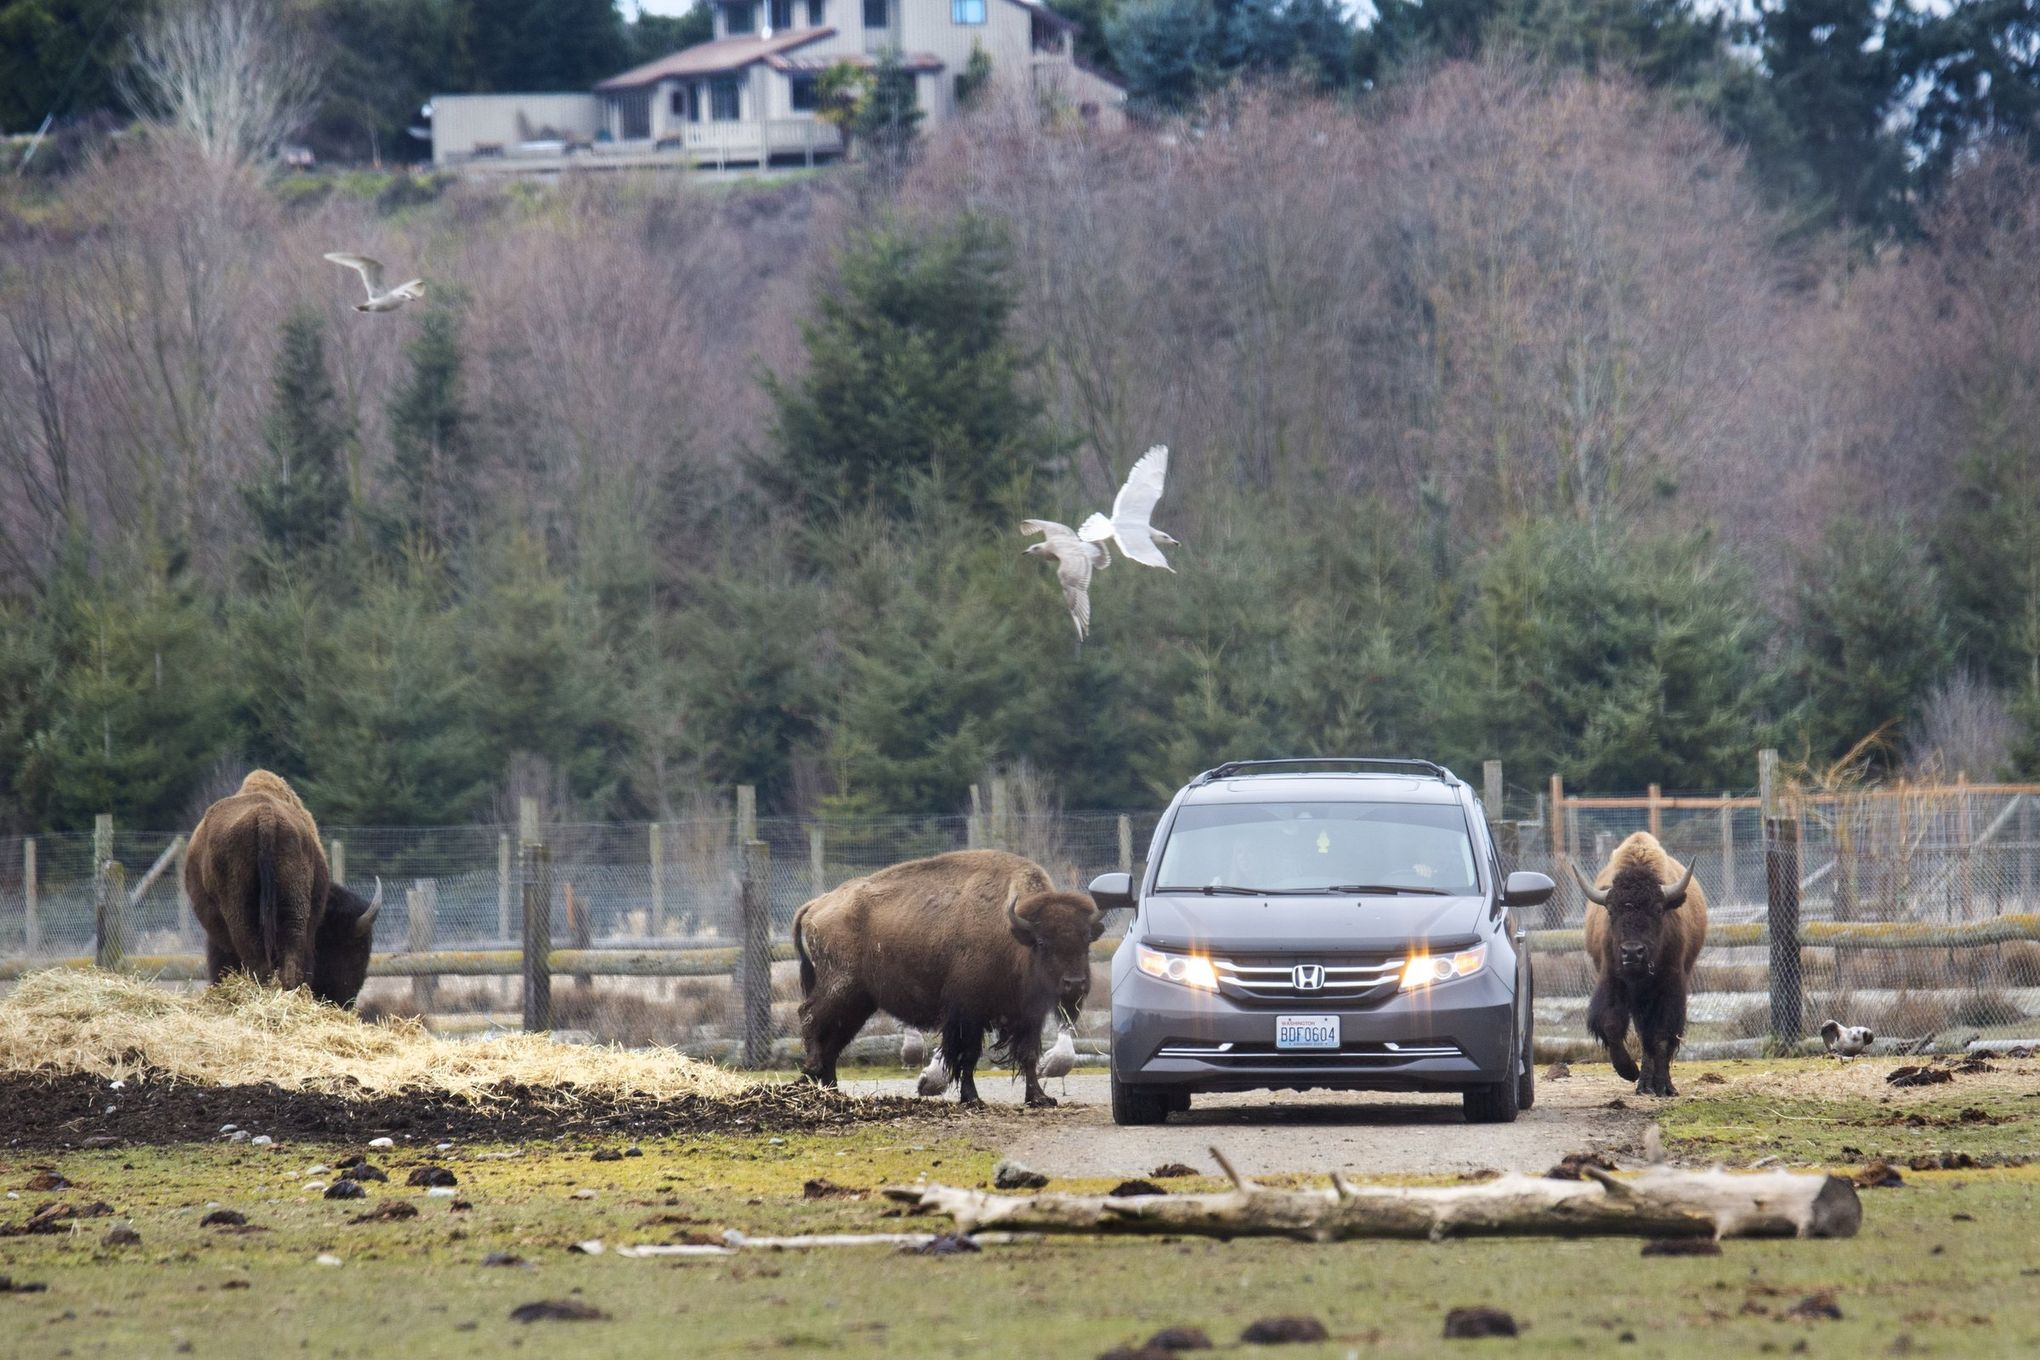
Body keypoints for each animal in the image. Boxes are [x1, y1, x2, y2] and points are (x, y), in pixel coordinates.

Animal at [795, 852, 1109, 1109]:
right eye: (1043, 942)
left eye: (1086, 940)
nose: (1075, 983)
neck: (1013, 933)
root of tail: (818, 903)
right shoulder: (967, 1014)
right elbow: (966, 1057)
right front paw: (973, 1099)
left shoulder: (1028, 1015)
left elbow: (1029, 1054)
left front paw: (1040, 1098)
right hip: (840, 989)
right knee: (811, 1019)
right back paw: (812, 1075)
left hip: (860, 1002)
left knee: (834, 1040)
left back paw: (832, 1091)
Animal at [1566, 831, 1713, 1109]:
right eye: (1612, 911)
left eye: (1658, 909)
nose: (1632, 952)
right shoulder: (1613, 982)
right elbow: (1612, 1026)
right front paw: (1629, 1072)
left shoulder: (1669, 988)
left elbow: (1663, 1035)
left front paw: (1664, 1086)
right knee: (1644, 1034)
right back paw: (1643, 1083)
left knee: (1654, 1038)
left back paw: (1654, 1084)